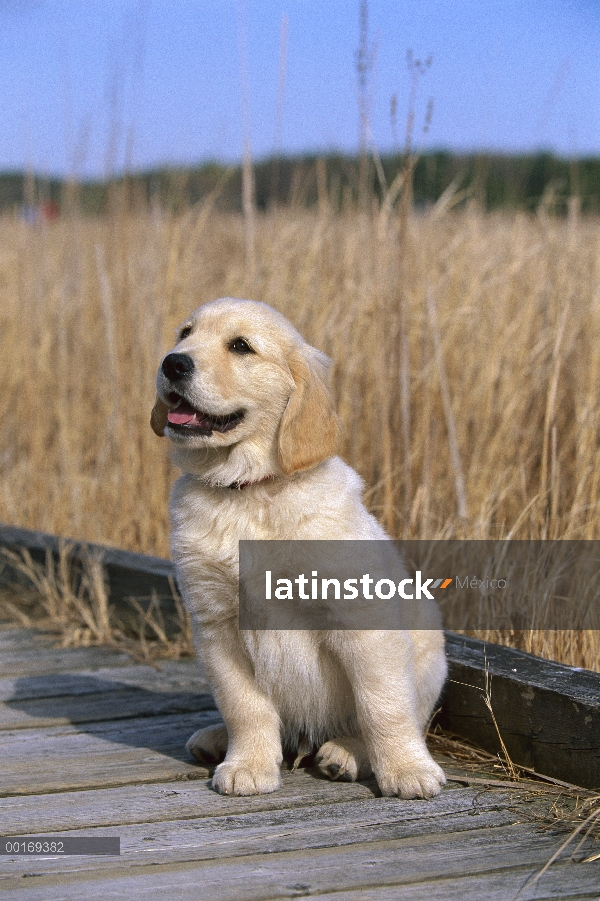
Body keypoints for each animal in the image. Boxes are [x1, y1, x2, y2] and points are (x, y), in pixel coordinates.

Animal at [152, 298, 448, 800]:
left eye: (240, 346)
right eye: (184, 334)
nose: (173, 363)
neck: (250, 491)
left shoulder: (362, 620)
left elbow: (383, 705)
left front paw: (406, 769)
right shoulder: (217, 623)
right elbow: (243, 705)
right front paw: (248, 763)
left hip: (430, 651)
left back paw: (346, 753)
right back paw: (216, 738)